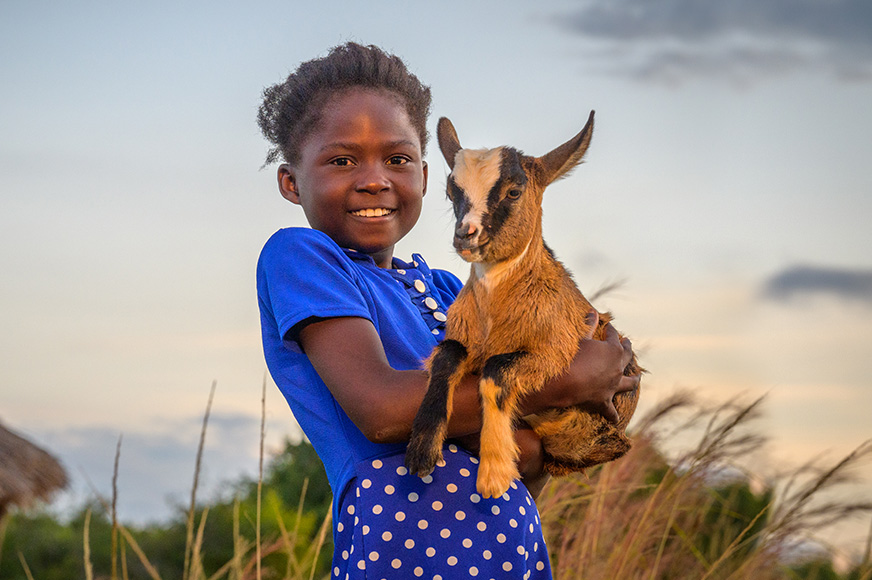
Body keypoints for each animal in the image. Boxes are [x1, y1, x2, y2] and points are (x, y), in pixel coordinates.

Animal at [405, 111, 642, 498]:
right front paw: (422, 451)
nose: (465, 235)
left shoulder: (557, 353)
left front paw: (494, 473)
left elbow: (496, 370)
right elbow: (445, 356)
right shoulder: (462, 340)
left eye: (514, 192)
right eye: (451, 192)